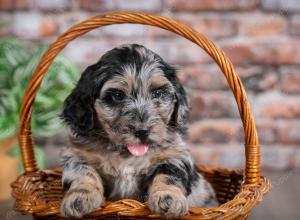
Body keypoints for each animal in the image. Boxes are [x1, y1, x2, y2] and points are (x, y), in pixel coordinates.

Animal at [60, 43, 218, 218]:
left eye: (157, 93)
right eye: (117, 95)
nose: (142, 131)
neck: (127, 155)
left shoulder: (175, 155)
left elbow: (168, 176)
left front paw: (168, 198)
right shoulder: (77, 155)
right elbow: (83, 173)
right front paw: (79, 198)